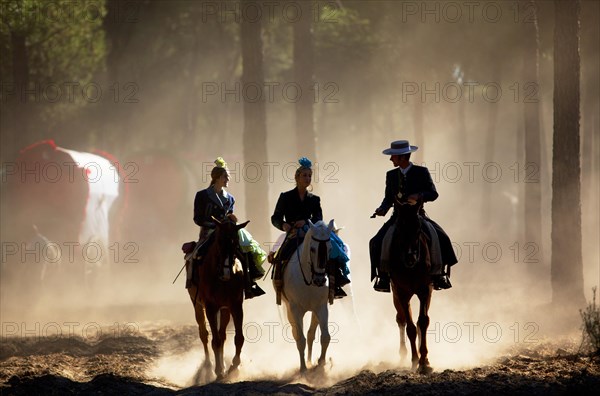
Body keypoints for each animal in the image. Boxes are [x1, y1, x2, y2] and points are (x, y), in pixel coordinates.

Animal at [188, 220, 248, 380]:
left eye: (235, 242)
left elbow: (238, 338)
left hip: (225, 309)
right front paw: (219, 370)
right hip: (197, 305)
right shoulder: (210, 307)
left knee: (222, 335)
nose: (226, 272)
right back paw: (209, 366)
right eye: (219, 241)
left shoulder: (235, 305)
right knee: (204, 334)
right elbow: (215, 341)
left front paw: (234, 366)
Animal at [280, 220, 336, 372]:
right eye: (312, 249)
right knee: (297, 333)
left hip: (314, 310)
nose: (320, 280)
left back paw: (311, 361)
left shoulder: (322, 307)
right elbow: (300, 339)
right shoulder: (295, 309)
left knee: (311, 333)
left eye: (329, 248)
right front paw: (303, 369)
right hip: (289, 309)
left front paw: (321, 363)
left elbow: (325, 337)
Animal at [386, 201, 434, 374]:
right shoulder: (401, 293)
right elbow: (410, 328)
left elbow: (423, 322)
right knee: (401, 319)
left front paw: (424, 361)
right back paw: (403, 355)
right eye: (400, 228)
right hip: (396, 295)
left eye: (419, 229)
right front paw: (415, 360)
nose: (410, 257)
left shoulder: (425, 290)